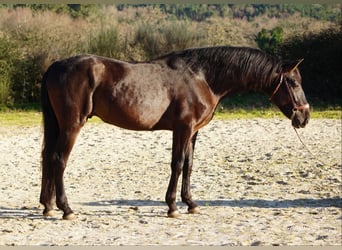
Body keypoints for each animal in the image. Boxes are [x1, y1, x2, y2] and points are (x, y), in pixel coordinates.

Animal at [40, 46, 310, 219]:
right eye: (294, 82)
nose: (304, 116)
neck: (202, 78)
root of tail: (55, 66)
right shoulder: (183, 128)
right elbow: (177, 164)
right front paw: (172, 206)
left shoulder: (193, 132)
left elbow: (188, 166)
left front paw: (190, 203)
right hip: (72, 125)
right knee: (59, 160)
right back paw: (66, 209)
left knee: (48, 159)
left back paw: (48, 205)